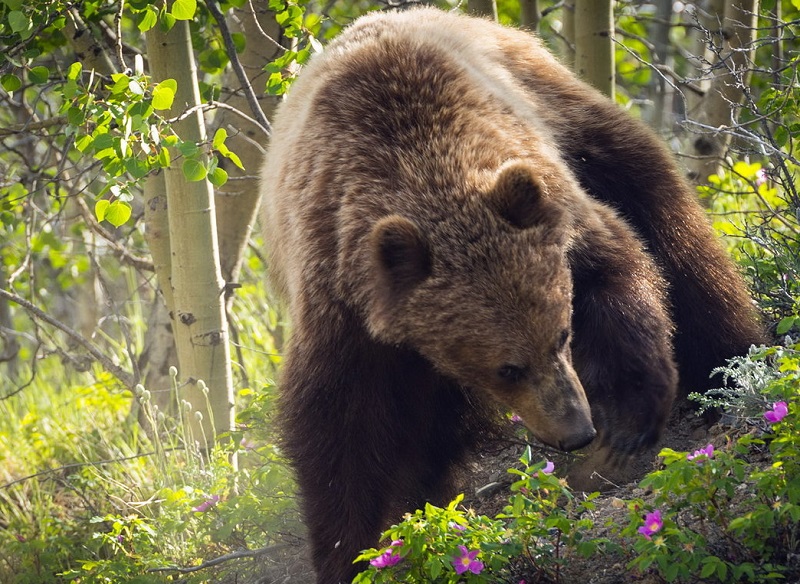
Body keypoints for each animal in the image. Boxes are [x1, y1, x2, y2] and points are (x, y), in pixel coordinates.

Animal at [260, 5, 764, 584]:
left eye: (562, 335)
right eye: (507, 368)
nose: (577, 431)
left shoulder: (557, 208)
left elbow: (619, 272)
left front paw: (629, 419)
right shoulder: (342, 301)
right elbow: (342, 428)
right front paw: (355, 549)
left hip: (573, 119)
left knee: (666, 219)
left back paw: (727, 364)